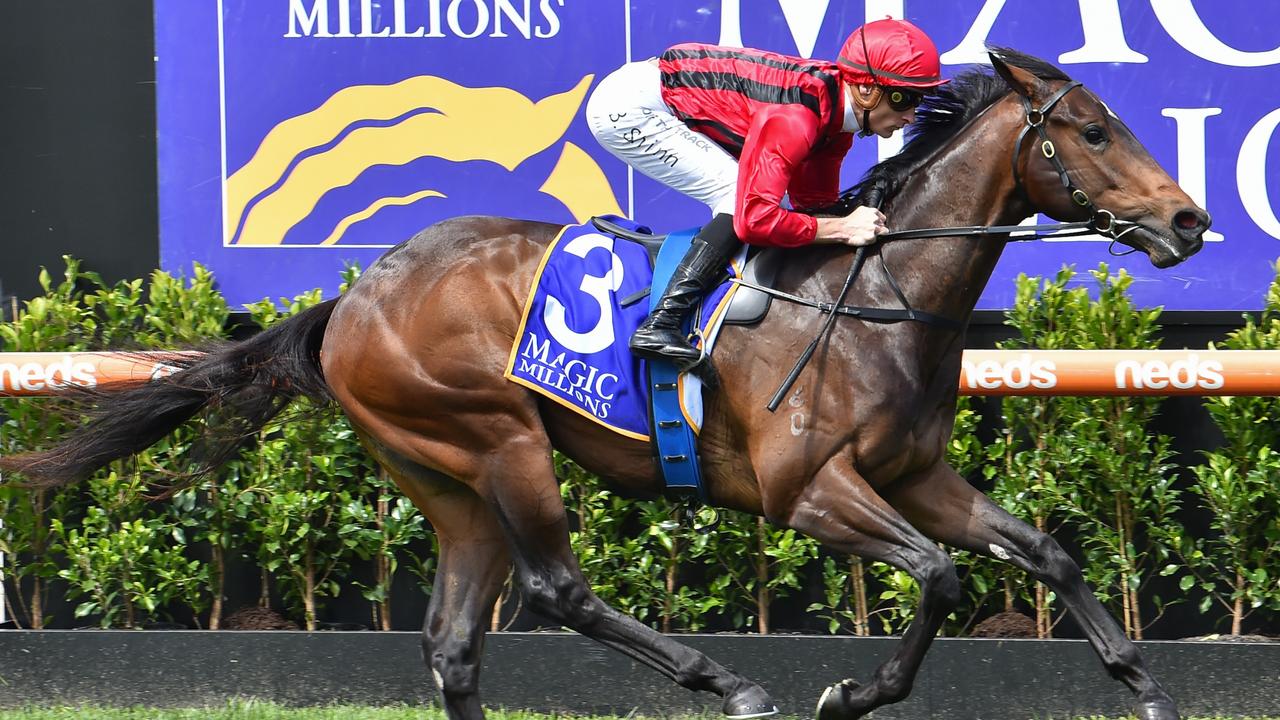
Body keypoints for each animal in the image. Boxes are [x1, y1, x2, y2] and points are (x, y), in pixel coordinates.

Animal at [0, 50, 1203, 717]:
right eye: (1092, 129)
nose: (1188, 219)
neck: (877, 292)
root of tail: (351, 298)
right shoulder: (807, 491)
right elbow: (943, 580)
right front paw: (844, 692)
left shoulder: (916, 477)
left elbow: (1041, 550)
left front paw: (1145, 690)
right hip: (497, 439)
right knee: (555, 591)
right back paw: (731, 684)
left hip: (443, 478)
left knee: (454, 642)